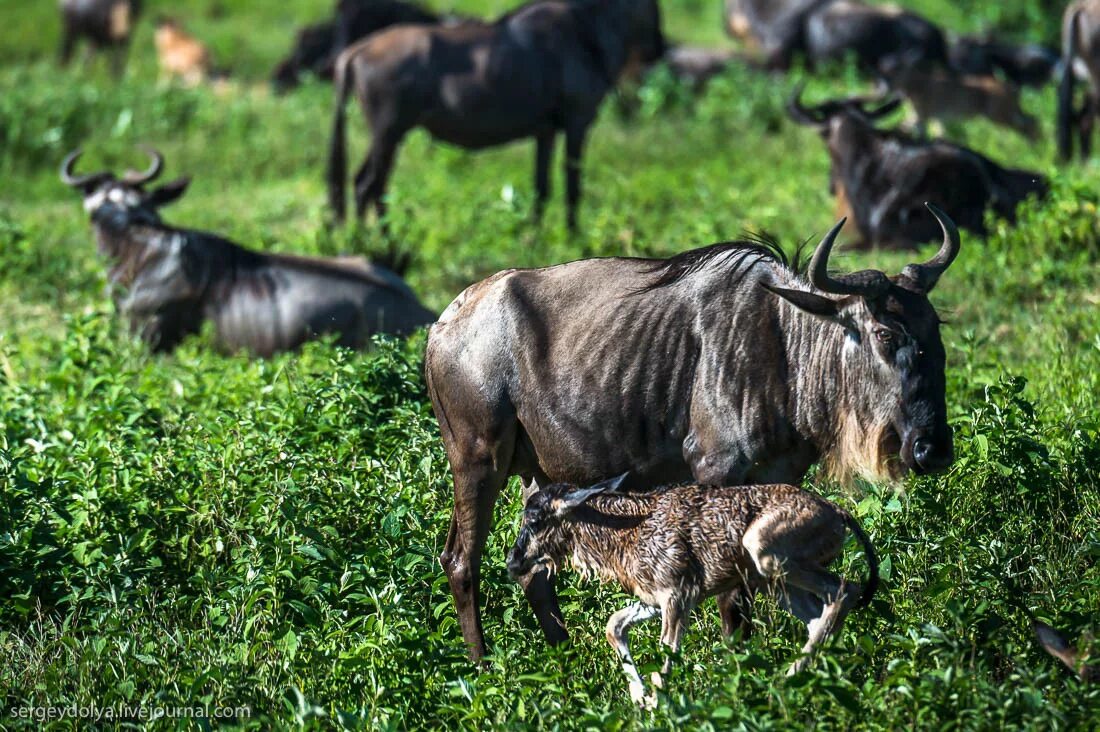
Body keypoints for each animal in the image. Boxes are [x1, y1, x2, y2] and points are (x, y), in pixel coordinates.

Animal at [506, 477, 875, 704]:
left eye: (535, 520)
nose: (512, 561)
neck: (624, 532)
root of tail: (838, 514)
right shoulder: (654, 599)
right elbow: (614, 626)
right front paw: (639, 699)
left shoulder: (676, 596)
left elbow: (664, 661)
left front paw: (657, 707)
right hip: (772, 581)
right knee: (818, 616)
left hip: (766, 553)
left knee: (845, 590)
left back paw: (785, 683)